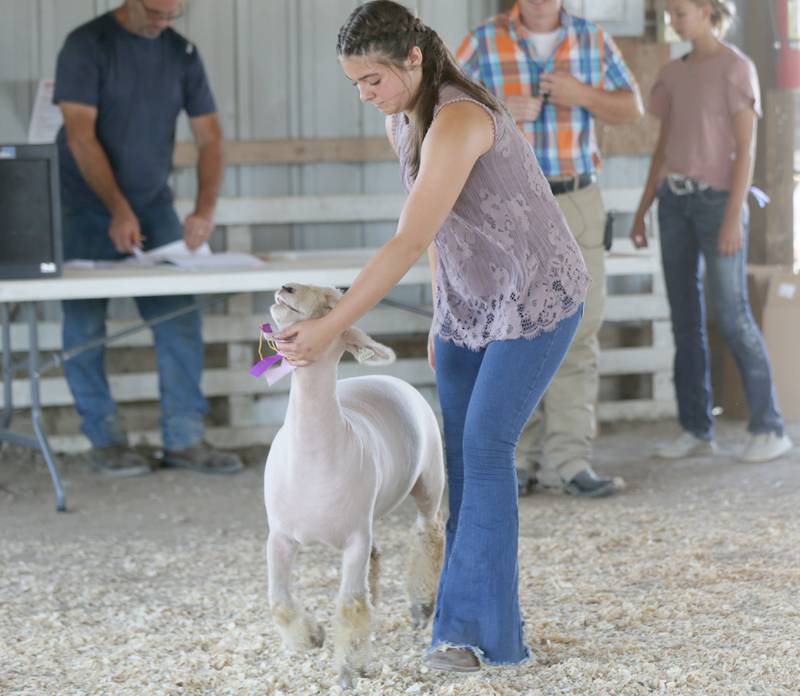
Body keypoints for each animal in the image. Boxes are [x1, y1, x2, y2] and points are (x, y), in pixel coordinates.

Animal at [266, 280, 446, 688]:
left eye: (333, 305)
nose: (286, 287)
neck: (312, 459)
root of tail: (387, 377)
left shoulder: (353, 540)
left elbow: (349, 605)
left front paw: (349, 671)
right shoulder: (280, 536)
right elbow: (280, 602)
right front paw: (311, 638)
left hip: (430, 477)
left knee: (429, 532)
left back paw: (421, 606)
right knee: (378, 557)